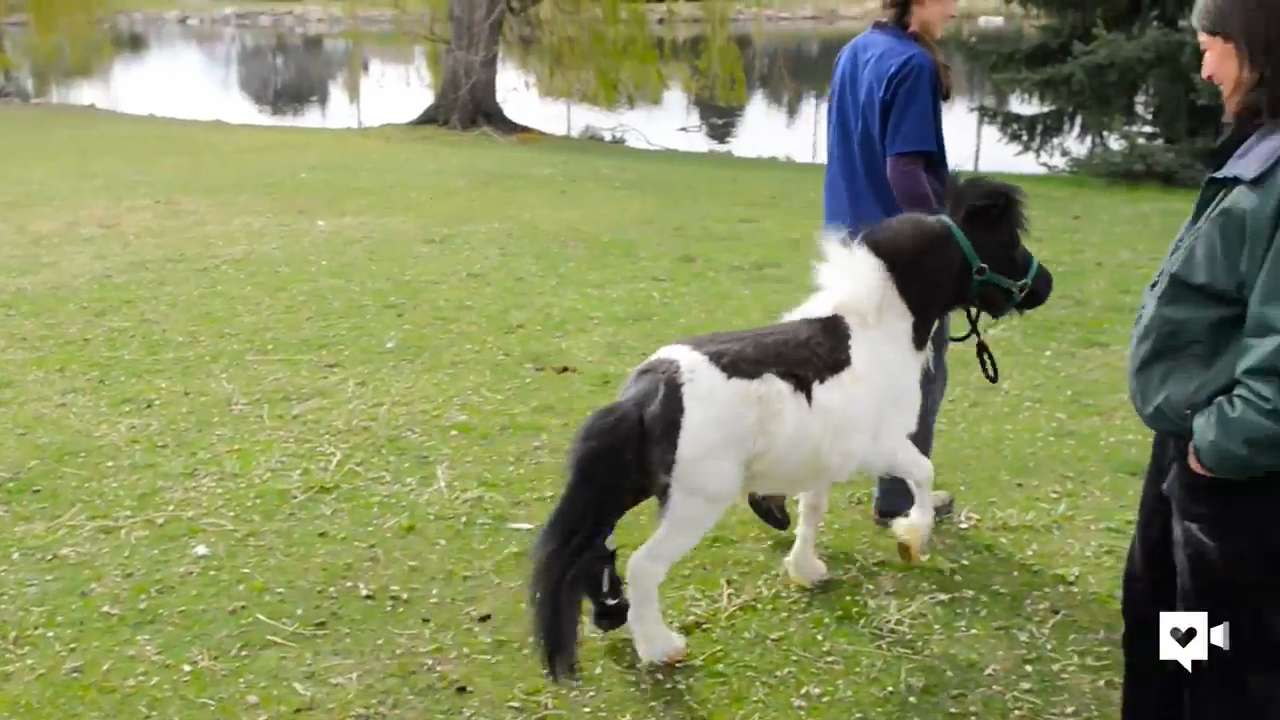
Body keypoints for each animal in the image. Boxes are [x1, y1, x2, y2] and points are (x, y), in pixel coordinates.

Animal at [529, 175, 1054, 681]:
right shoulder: (882, 446)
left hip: (632, 488)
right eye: (1005, 240)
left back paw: (611, 612)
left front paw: (806, 569)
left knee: (593, 551)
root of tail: (646, 393)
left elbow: (813, 510)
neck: (874, 331)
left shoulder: (822, 458)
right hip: (692, 505)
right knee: (642, 565)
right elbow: (922, 472)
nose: (1045, 284)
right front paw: (911, 538)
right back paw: (661, 648)